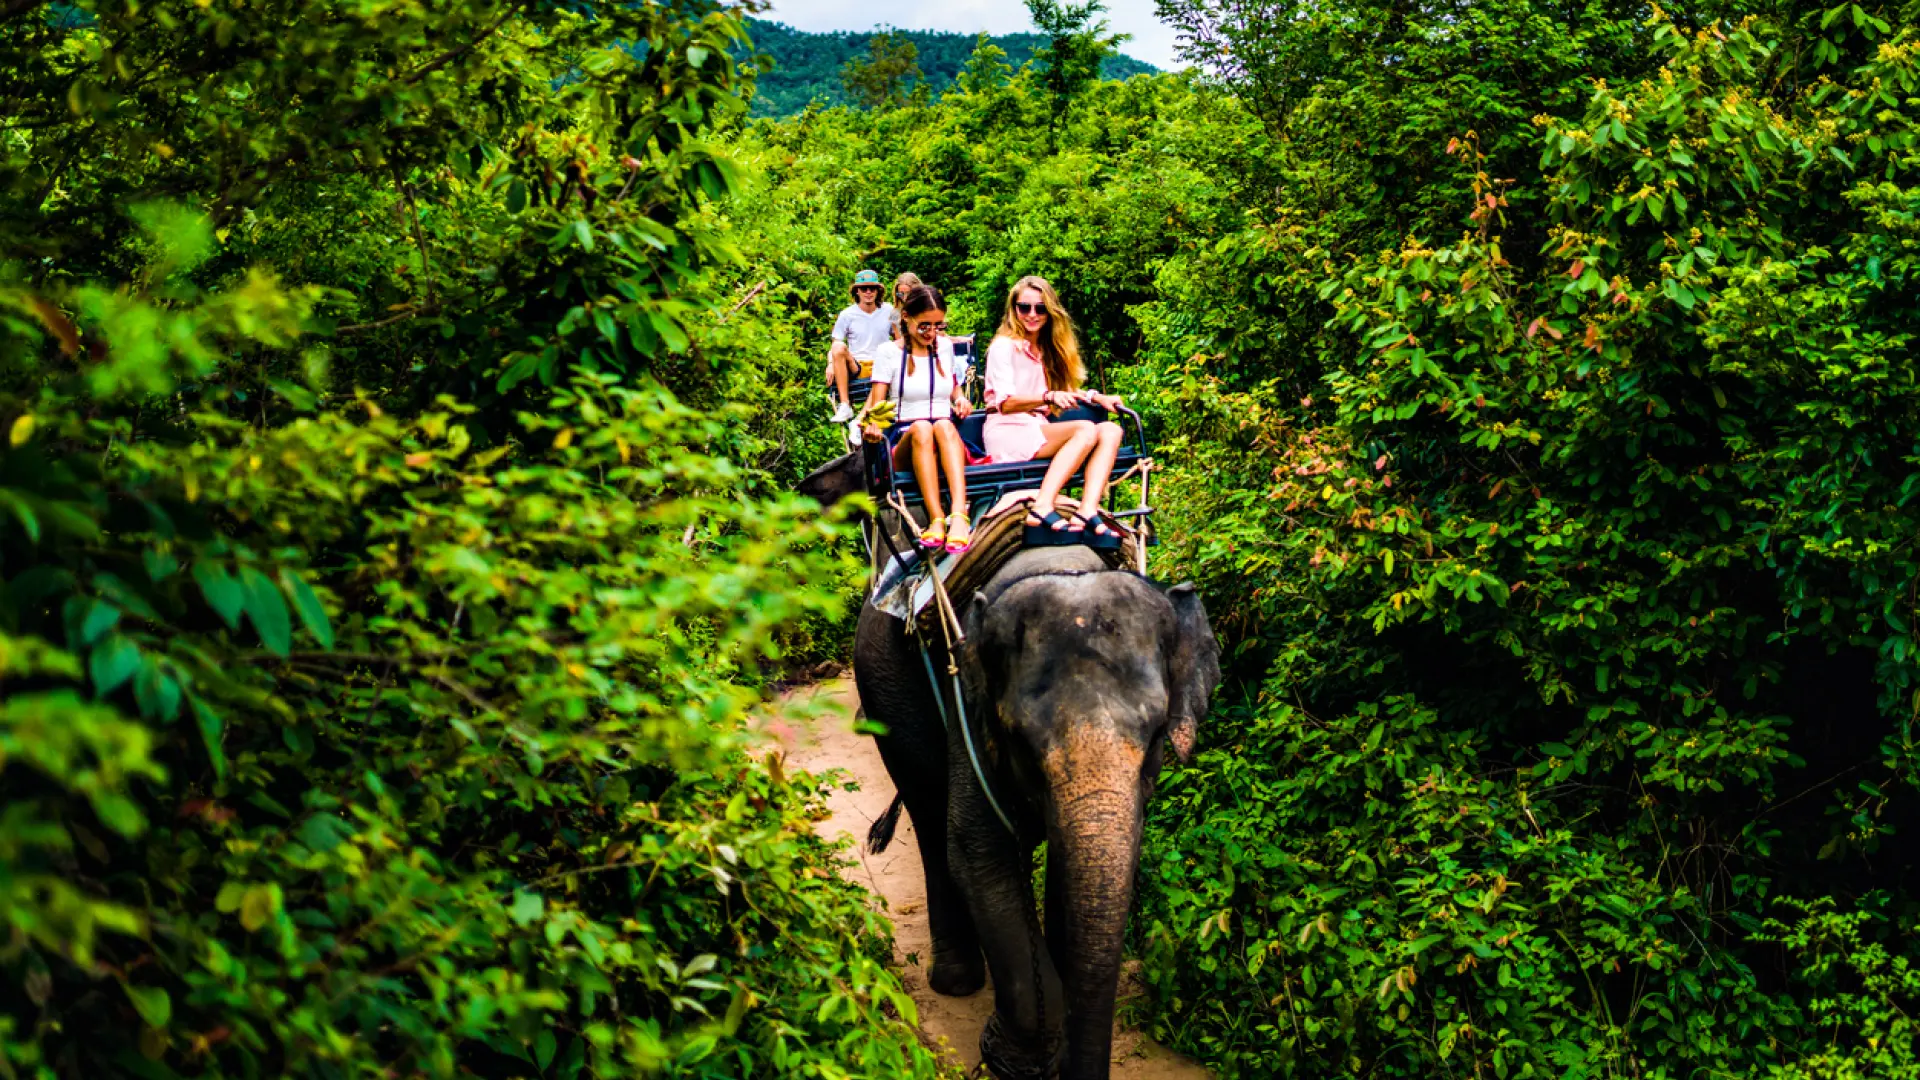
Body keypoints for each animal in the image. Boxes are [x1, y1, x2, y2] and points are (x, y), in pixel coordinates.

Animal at [798, 451, 1221, 1076]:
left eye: (1155, 739)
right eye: (1020, 739)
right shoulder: (966, 700)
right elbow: (977, 849)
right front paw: (1011, 1056)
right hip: (882, 685)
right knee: (930, 814)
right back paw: (956, 981)